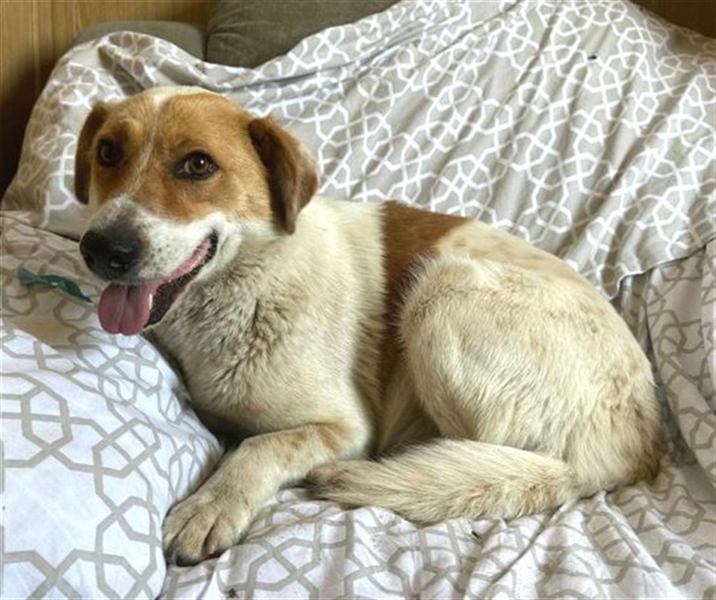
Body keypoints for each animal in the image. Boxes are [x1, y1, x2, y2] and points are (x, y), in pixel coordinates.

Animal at [76, 87, 662, 566]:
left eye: (197, 165)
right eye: (108, 152)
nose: (102, 250)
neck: (250, 281)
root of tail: (631, 444)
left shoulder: (347, 427)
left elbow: (259, 446)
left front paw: (211, 504)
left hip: (440, 291)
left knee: (487, 457)